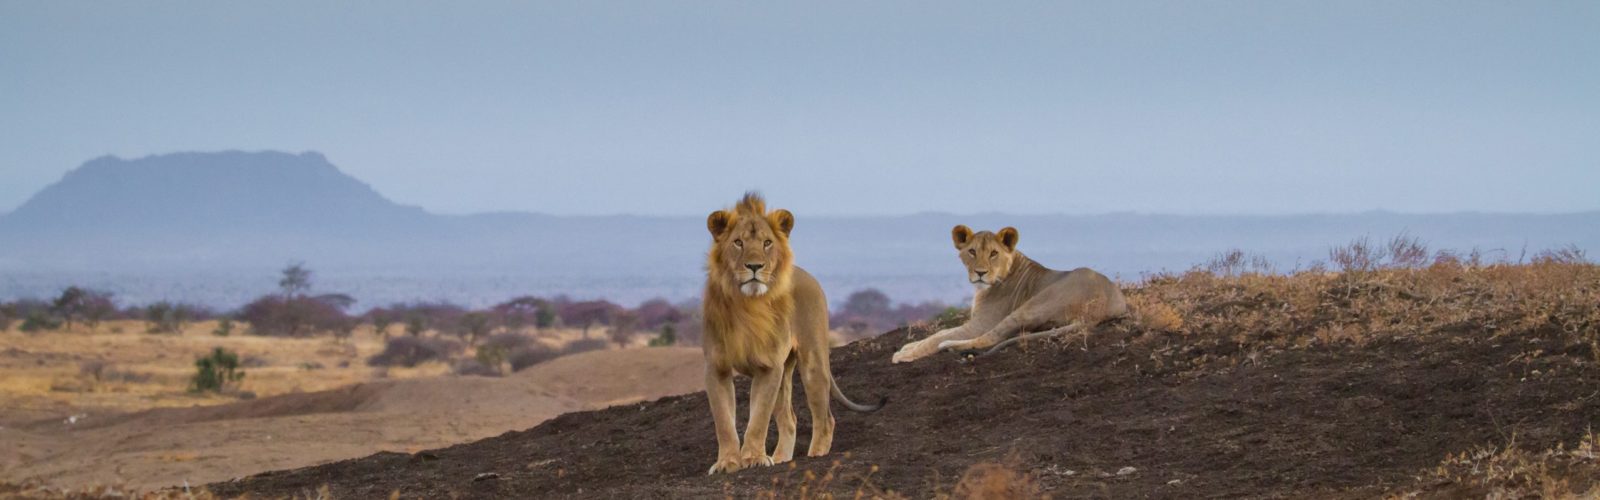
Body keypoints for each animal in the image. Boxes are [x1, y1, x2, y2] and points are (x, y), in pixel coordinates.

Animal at [704, 193, 889, 474]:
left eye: (767, 243)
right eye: (738, 242)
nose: (755, 266)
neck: (747, 305)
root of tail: (806, 274)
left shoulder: (768, 367)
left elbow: (758, 419)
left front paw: (754, 458)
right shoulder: (717, 367)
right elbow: (723, 421)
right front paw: (727, 463)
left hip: (812, 363)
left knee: (825, 419)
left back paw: (815, 456)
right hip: (785, 372)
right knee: (789, 419)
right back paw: (781, 458)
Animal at [889, 225, 1126, 363]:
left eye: (994, 253)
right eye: (972, 251)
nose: (980, 273)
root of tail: (1100, 310)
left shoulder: (980, 324)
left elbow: (938, 337)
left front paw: (905, 354)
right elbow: (939, 332)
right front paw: (909, 346)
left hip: (1032, 306)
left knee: (990, 338)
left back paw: (948, 347)